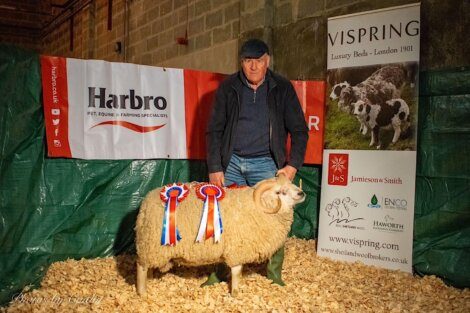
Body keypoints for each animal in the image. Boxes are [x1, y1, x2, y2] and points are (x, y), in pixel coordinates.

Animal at [135, 174, 304, 296]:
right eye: (279, 192)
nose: (302, 193)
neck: (258, 208)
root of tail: (145, 203)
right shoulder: (237, 249)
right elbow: (236, 273)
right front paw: (235, 294)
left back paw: (150, 281)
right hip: (151, 244)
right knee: (141, 267)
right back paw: (142, 293)